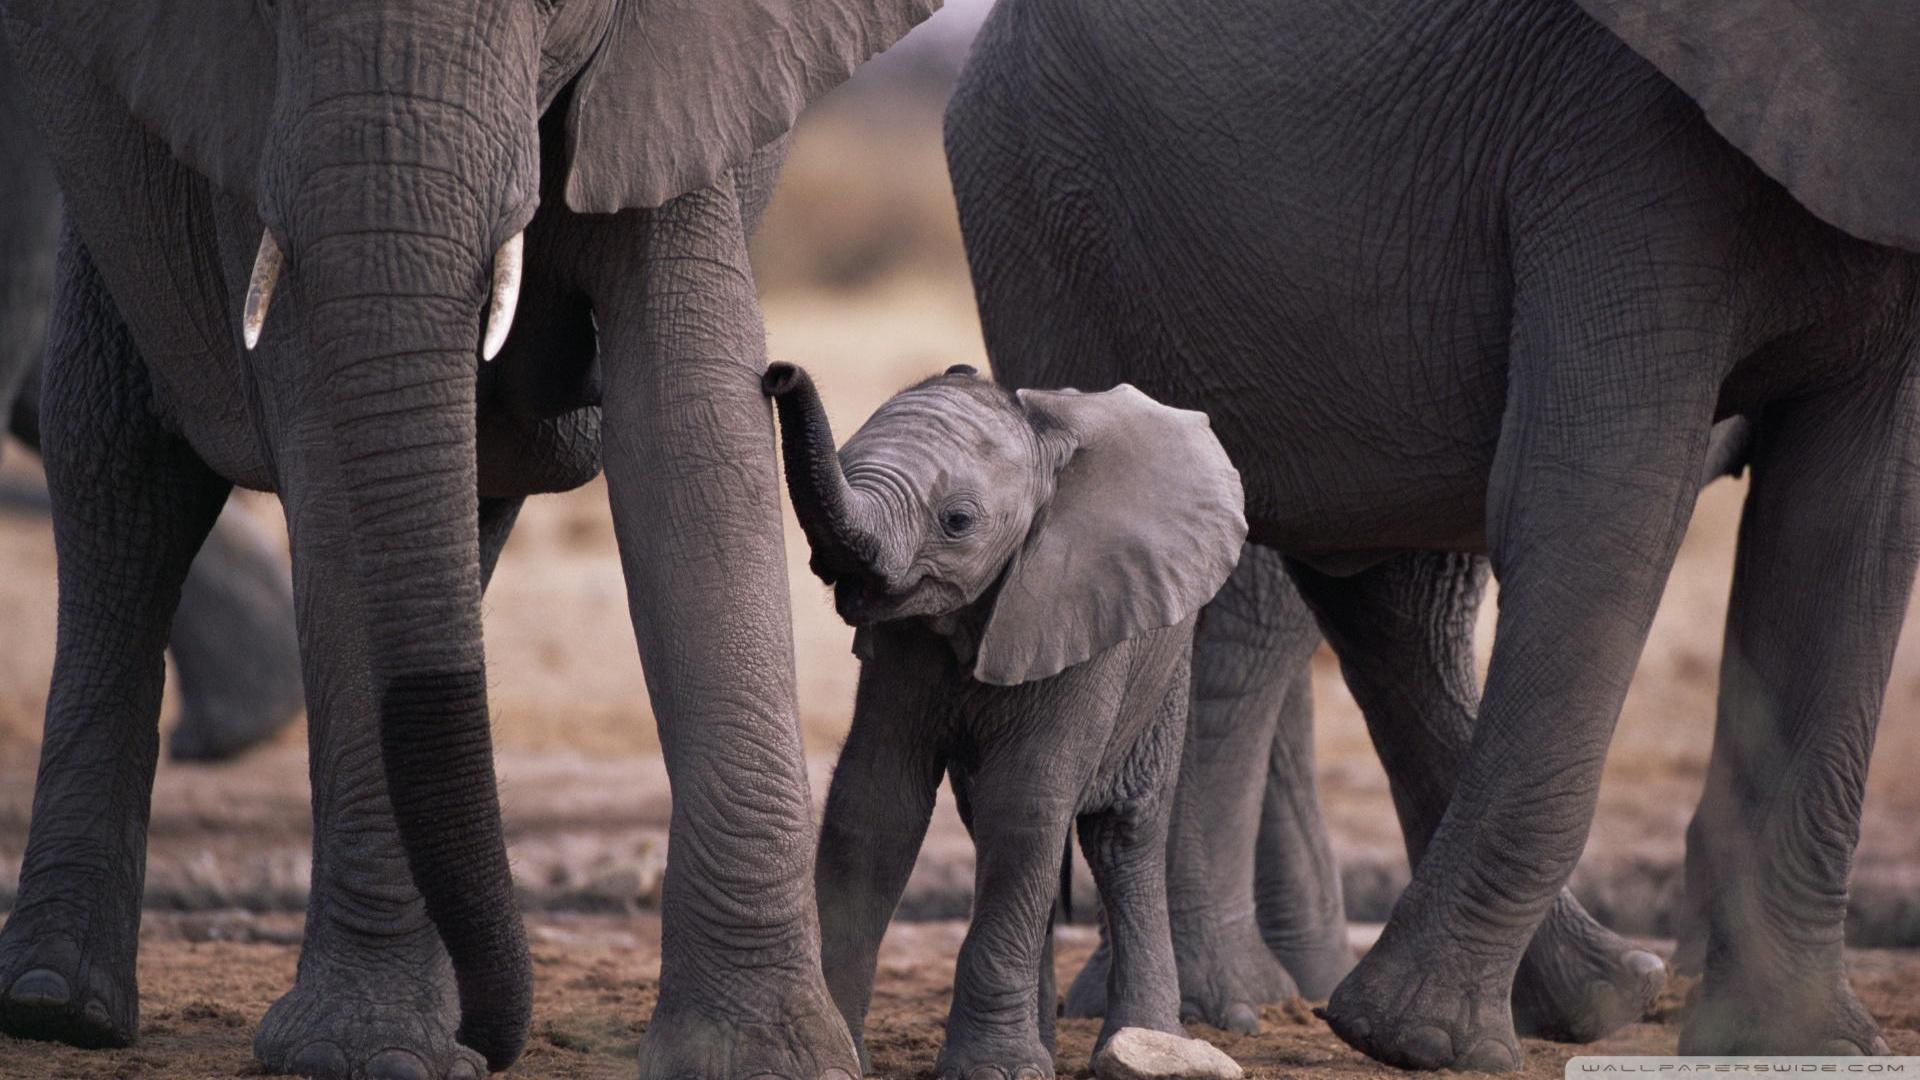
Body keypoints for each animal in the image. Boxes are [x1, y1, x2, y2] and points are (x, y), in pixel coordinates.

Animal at [768, 363, 1259, 1076]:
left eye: (957, 521)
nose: (778, 374)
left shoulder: (1080, 606)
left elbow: (1024, 803)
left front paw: (992, 1070)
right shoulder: (902, 644)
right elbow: (875, 806)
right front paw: (845, 1056)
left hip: (1166, 666)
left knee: (1121, 836)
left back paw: (1142, 1040)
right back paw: (1046, 1049)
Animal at [952, 0, 1920, 1060]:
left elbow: (1849, 540)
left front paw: (1800, 1043)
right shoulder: (1618, 144)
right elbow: (1598, 505)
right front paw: (1418, 1044)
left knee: (1381, 591)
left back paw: (1602, 993)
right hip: (1048, 212)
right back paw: (1226, 1012)